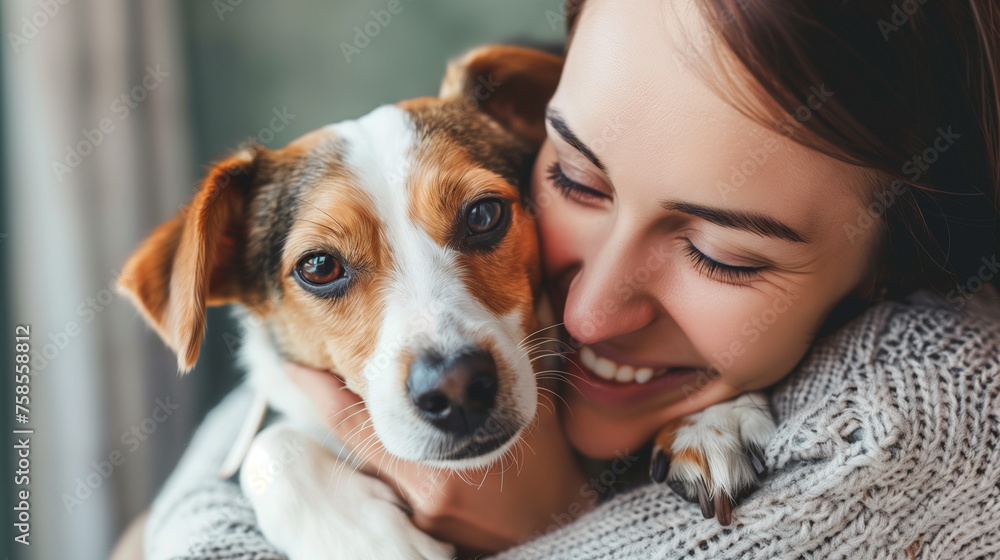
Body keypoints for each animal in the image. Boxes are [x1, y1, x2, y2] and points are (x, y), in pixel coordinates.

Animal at [115, 44, 772, 560]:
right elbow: (268, 445)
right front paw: (369, 543)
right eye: (319, 267)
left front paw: (712, 420)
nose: (456, 388)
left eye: (483, 214)